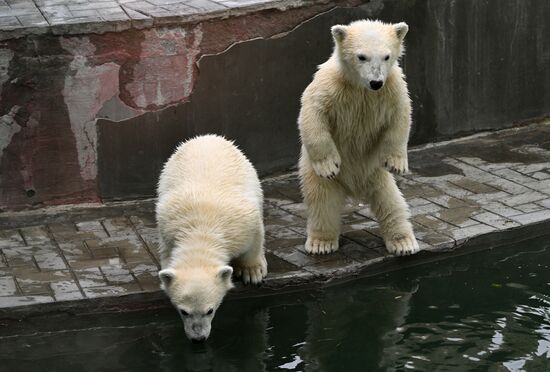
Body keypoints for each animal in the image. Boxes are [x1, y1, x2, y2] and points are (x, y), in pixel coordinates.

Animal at [156, 135, 268, 342]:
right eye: (184, 311)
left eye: (210, 310)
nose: (198, 338)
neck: (202, 230)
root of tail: (206, 137)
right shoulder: (167, 226)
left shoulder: (244, 223)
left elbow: (255, 239)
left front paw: (252, 272)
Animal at [300, 19, 420, 256]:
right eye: (361, 56)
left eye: (386, 56)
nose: (376, 82)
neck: (361, 88)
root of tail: (354, 189)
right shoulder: (329, 86)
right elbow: (313, 113)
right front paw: (328, 164)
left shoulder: (392, 88)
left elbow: (401, 116)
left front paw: (397, 163)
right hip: (318, 177)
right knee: (322, 203)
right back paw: (321, 243)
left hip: (376, 173)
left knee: (392, 202)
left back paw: (403, 242)